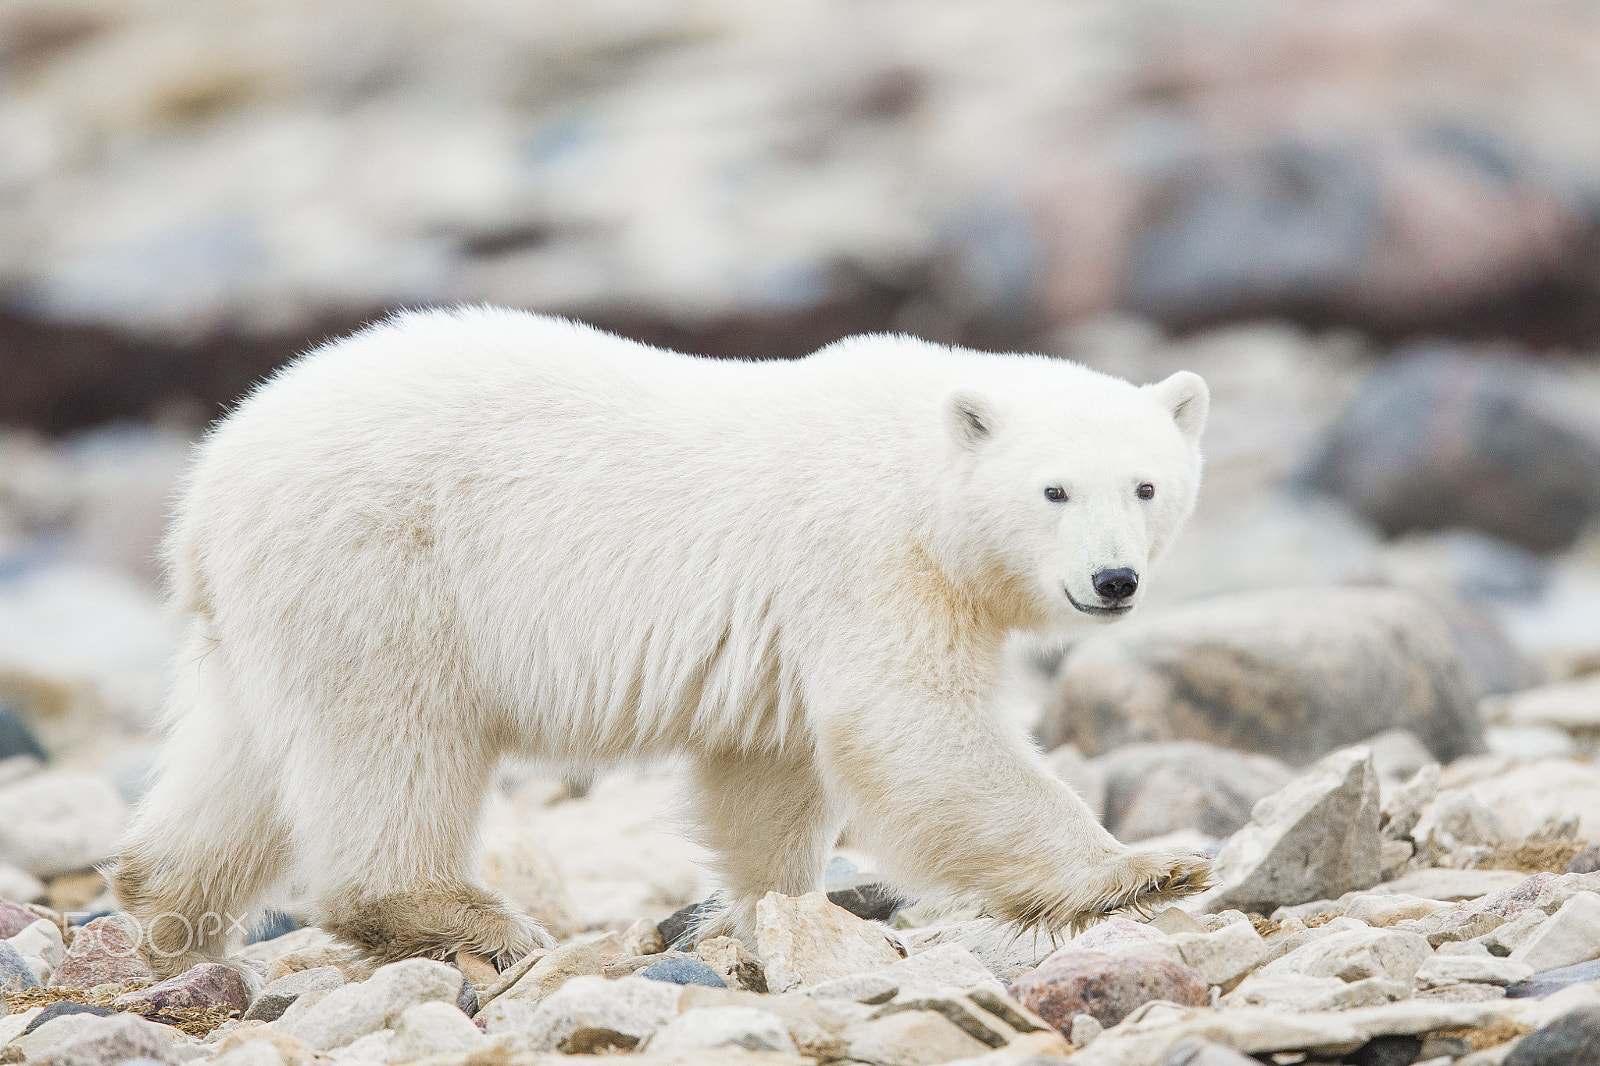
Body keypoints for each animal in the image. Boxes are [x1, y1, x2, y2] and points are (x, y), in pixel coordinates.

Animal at [112, 305, 1209, 973]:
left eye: (1147, 485)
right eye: (1053, 489)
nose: (1113, 580)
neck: (911, 460)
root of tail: (207, 481)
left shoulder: (788, 631)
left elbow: (766, 775)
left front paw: (772, 916)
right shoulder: (868, 560)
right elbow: (913, 729)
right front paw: (1143, 871)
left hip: (270, 610)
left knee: (239, 759)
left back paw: (168, 921)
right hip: (381, 568)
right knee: (392, 738)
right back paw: (468, 917)